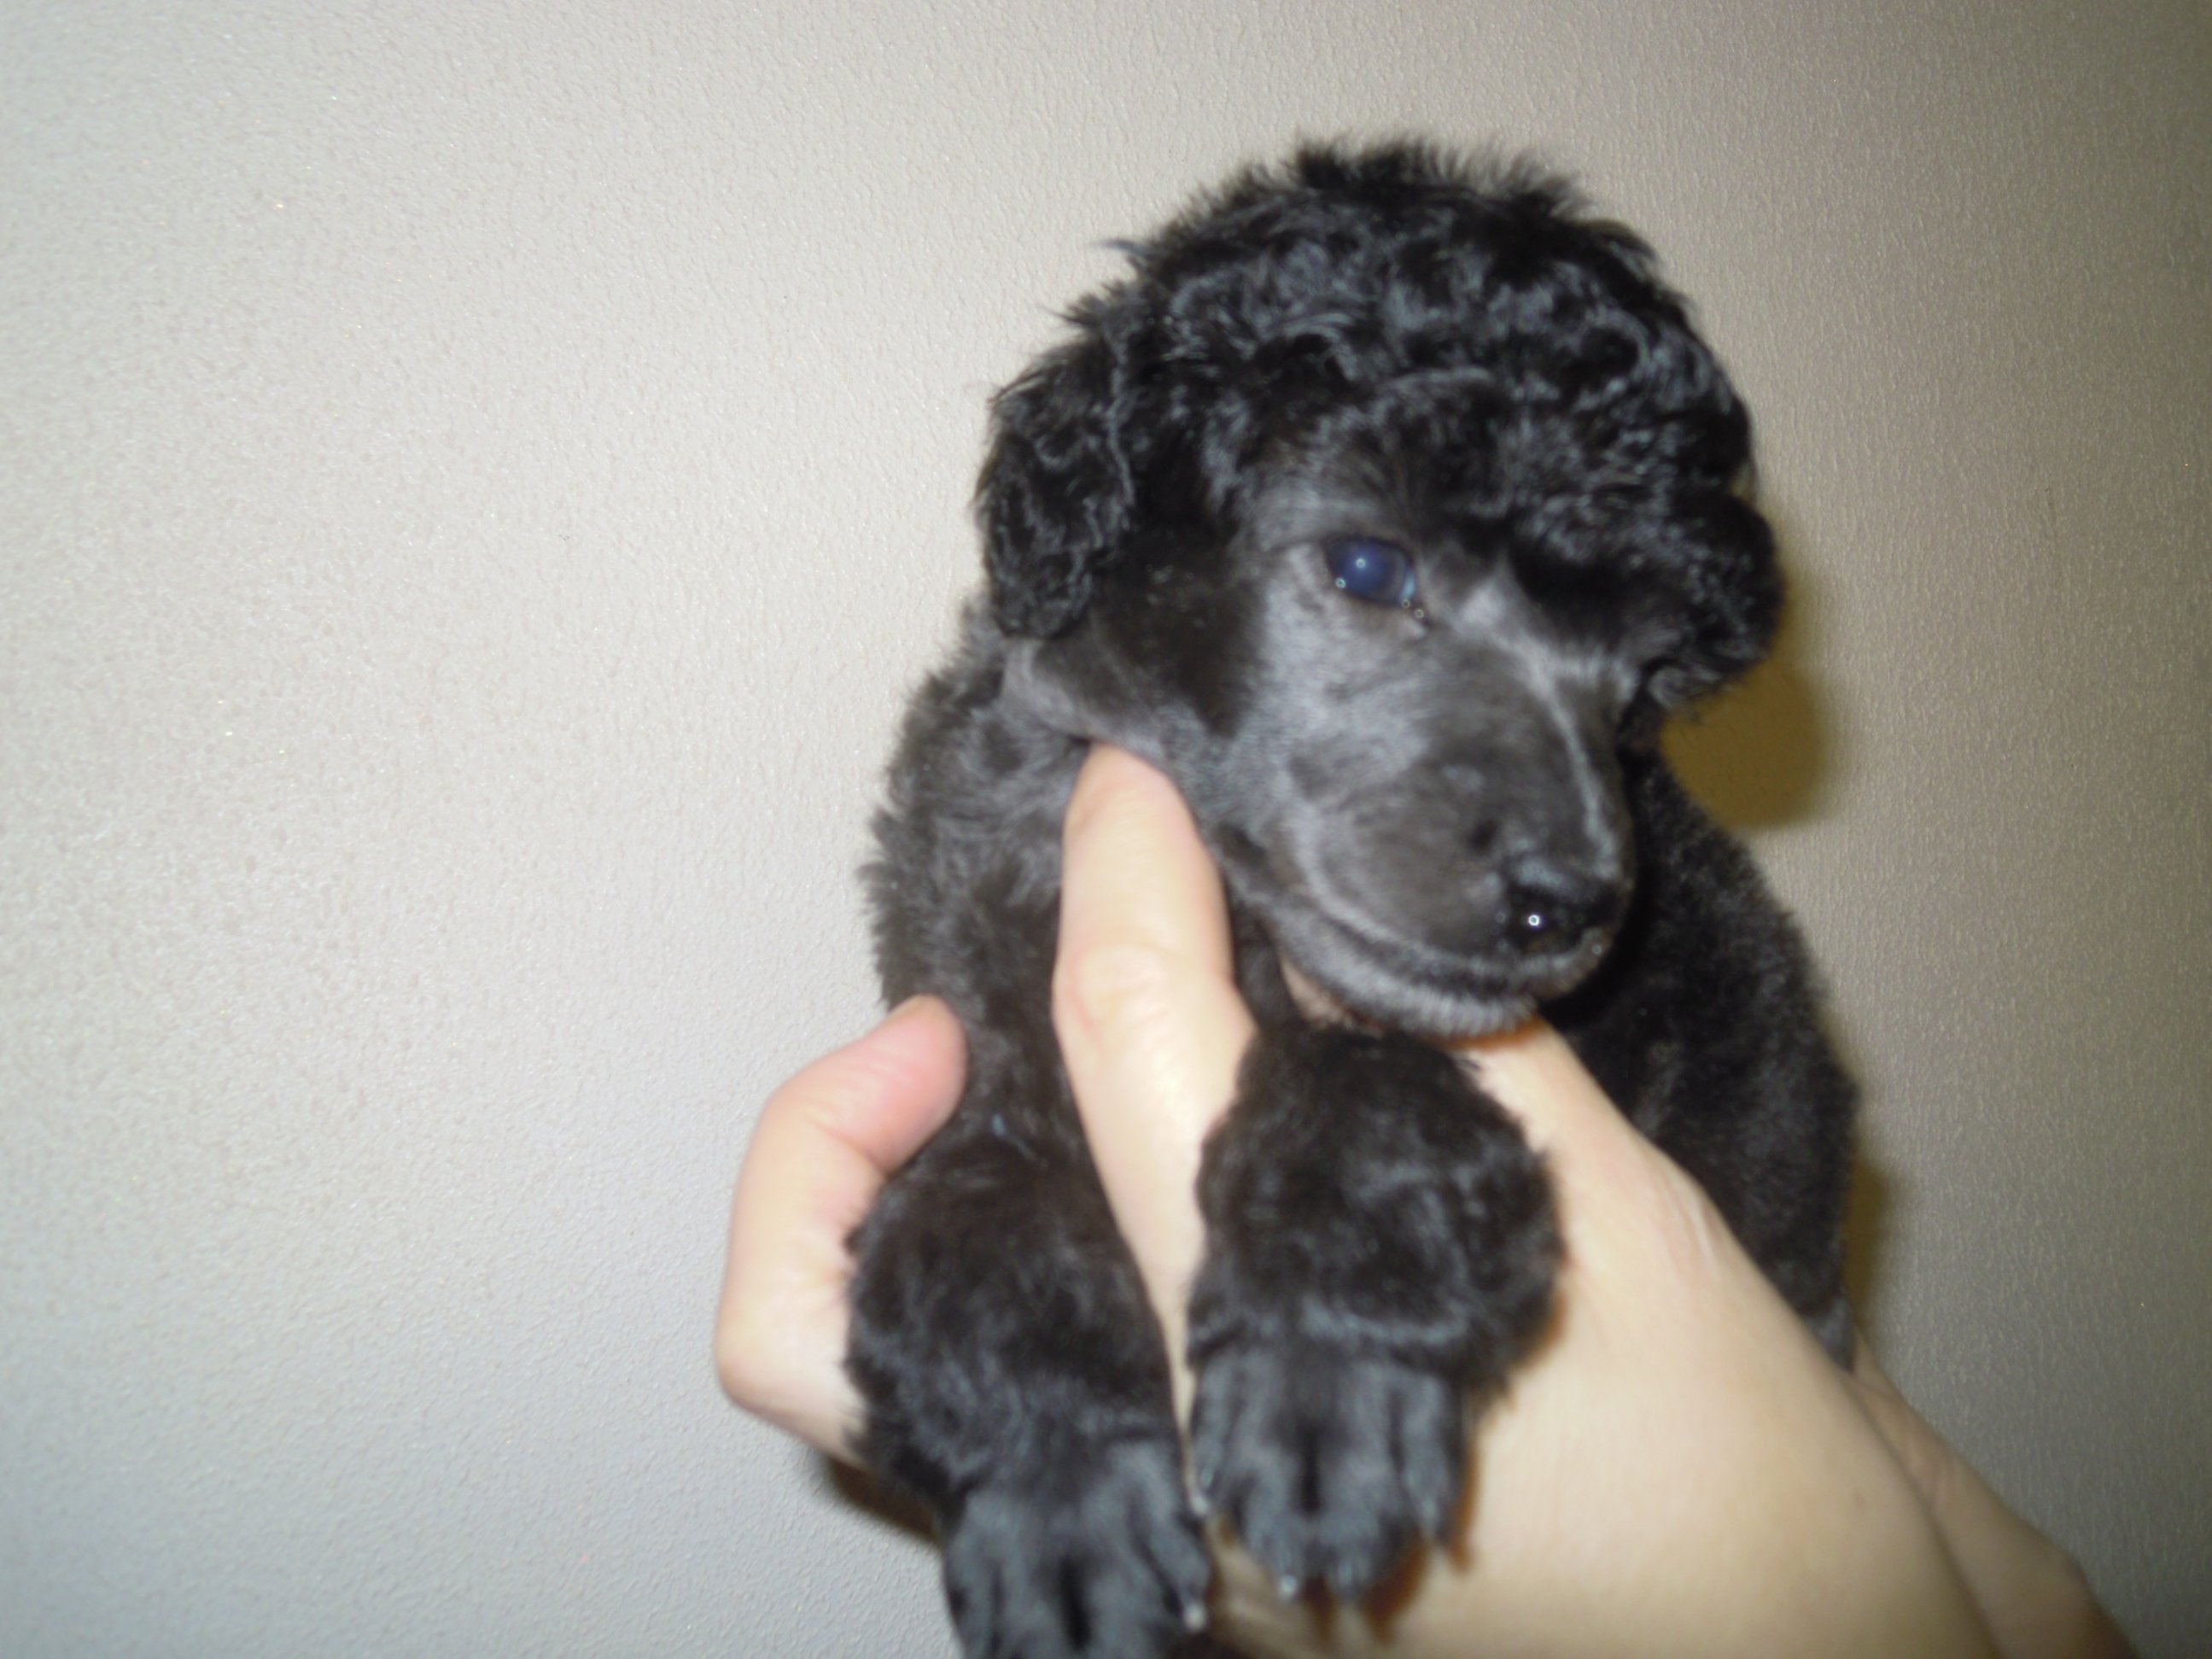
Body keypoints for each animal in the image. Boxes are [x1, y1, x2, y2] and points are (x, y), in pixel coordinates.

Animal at [848, 142, 1854, 1659]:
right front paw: (1060, 1499)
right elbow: (977, 1227)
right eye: (1370, 567)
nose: (1570, 900)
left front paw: (1321, 1372)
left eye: (1642, 680)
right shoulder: (958, 1034)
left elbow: (1371, 1097)